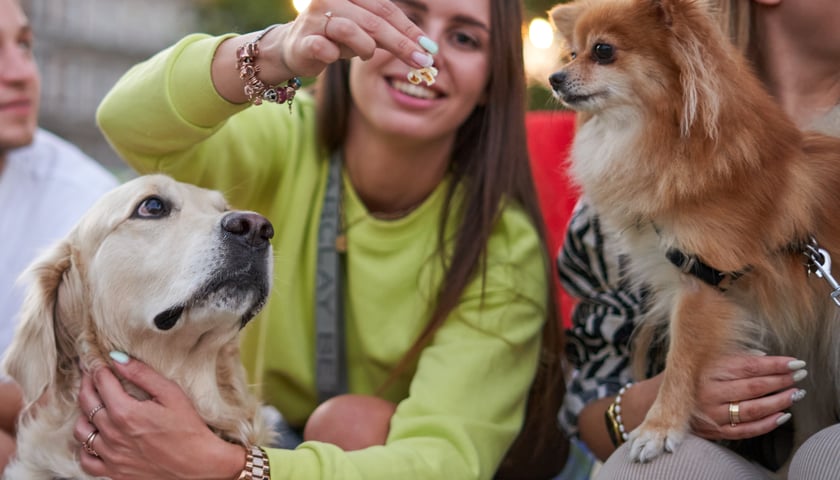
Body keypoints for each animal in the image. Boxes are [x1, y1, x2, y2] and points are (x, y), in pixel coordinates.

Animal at [552, 0, 840, 466]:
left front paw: (659, 426)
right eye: (572, 54)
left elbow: (680, 362)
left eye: (602, 51)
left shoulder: (703, 281)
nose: (554, 77)